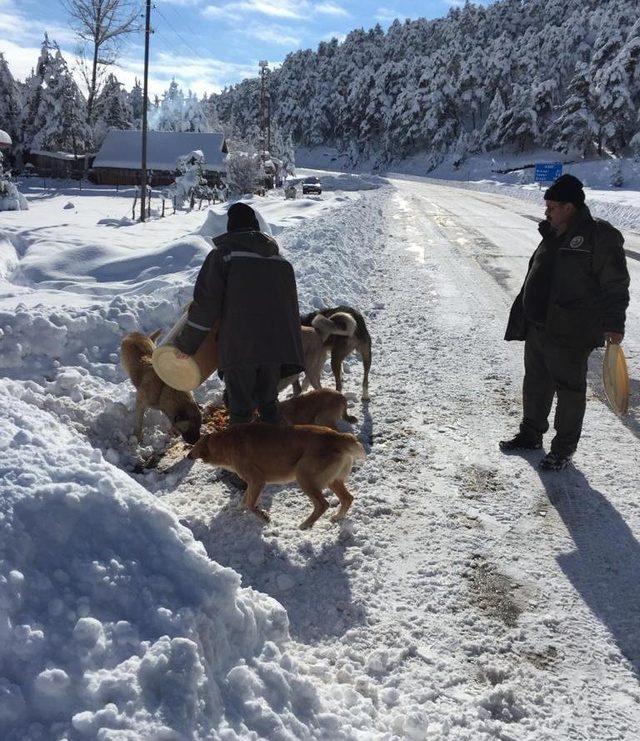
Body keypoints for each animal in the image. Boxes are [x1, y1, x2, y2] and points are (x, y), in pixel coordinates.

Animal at [186, 422, 364, 528]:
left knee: (323, 504)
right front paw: (238, 509)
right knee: (347, 498)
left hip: (304, 476)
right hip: (333, 481)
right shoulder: (252, 483)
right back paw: (337, 518)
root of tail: (339, 436)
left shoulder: (257, 480)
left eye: (194, 445)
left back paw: (305, 525)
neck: (226, 443)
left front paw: (264, 517)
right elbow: (245, 500)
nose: (187, 455)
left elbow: (251, 504)